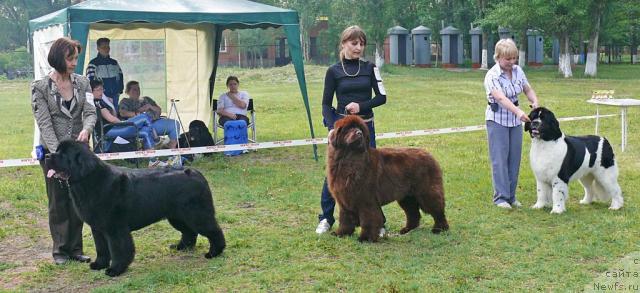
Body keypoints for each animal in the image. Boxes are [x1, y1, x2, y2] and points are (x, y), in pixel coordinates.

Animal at [44, 140, 225, 274]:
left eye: (63, 155)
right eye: (56, 151)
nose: (46, 155)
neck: (87, 180)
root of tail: (196, 173)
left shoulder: (115, 228)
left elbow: (118, 249)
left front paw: (115, 269)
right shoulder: (98, 228)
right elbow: (101, 248)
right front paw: (99, 264)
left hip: (196, 214)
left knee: (213, 231)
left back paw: (214, 253)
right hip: (177, 216)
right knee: (189, 231)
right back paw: (181, 247)